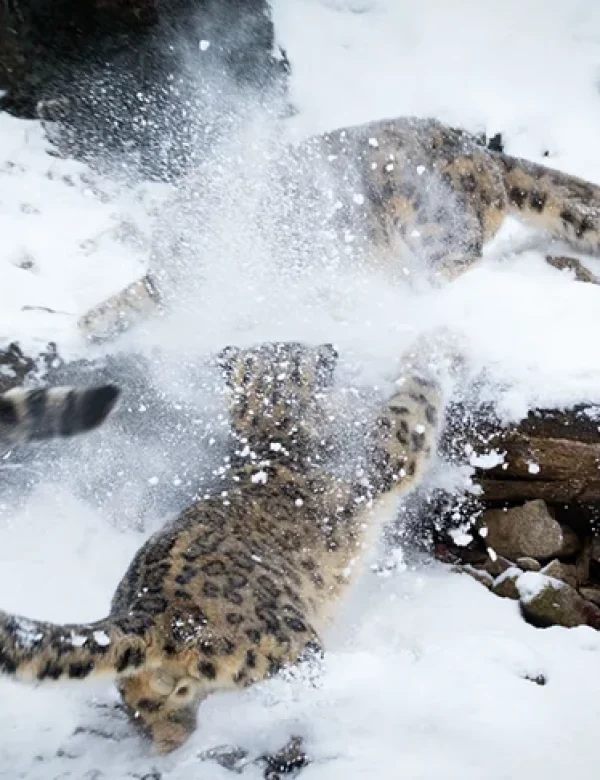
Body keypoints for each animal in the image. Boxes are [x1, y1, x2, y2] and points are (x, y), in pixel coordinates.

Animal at [0, 338, 449, 755]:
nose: (330, 347)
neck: (271, 428)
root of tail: (151, 614)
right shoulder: (384, 456)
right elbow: (413, 405)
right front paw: (438, 344)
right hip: (292, 648)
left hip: (157, 703)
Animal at [78, 114, 600, 341]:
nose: (185, 251)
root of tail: (479, 150)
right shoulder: (166, 283)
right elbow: (137, 293)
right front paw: (91, 321)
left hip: (430, 218)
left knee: (456, 265)